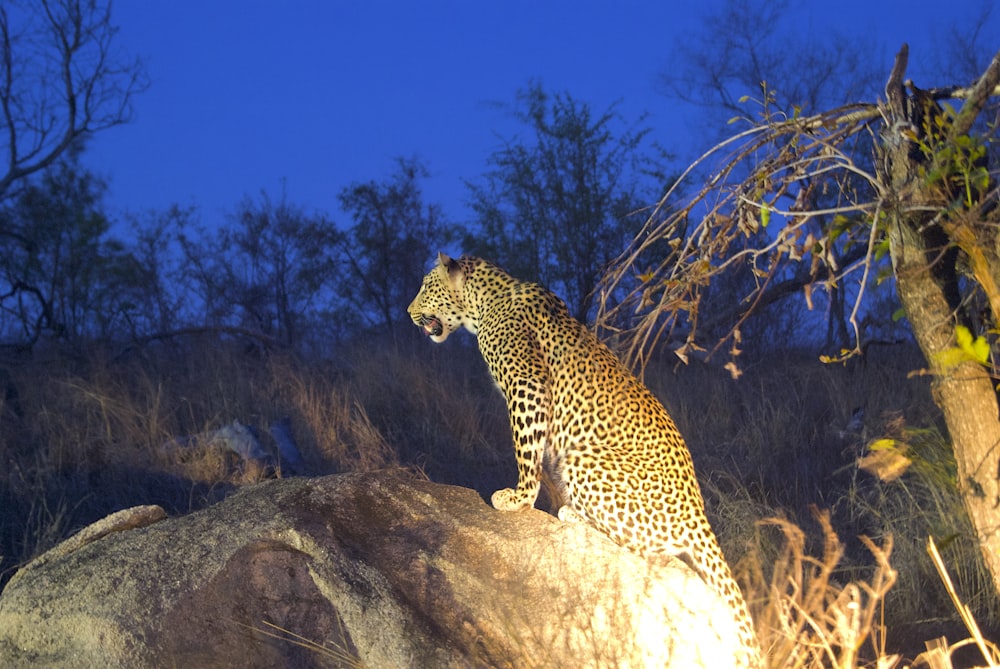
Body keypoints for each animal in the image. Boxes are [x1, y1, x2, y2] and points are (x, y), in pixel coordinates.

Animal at [410, 253, 760, 664]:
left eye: (426, 287)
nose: (409, 313)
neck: (485, 302)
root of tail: (698, 514)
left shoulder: (527, 386)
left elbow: (525, 449)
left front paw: (518, 499)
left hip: (583, 459)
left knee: (643, 549)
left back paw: (572, 514)